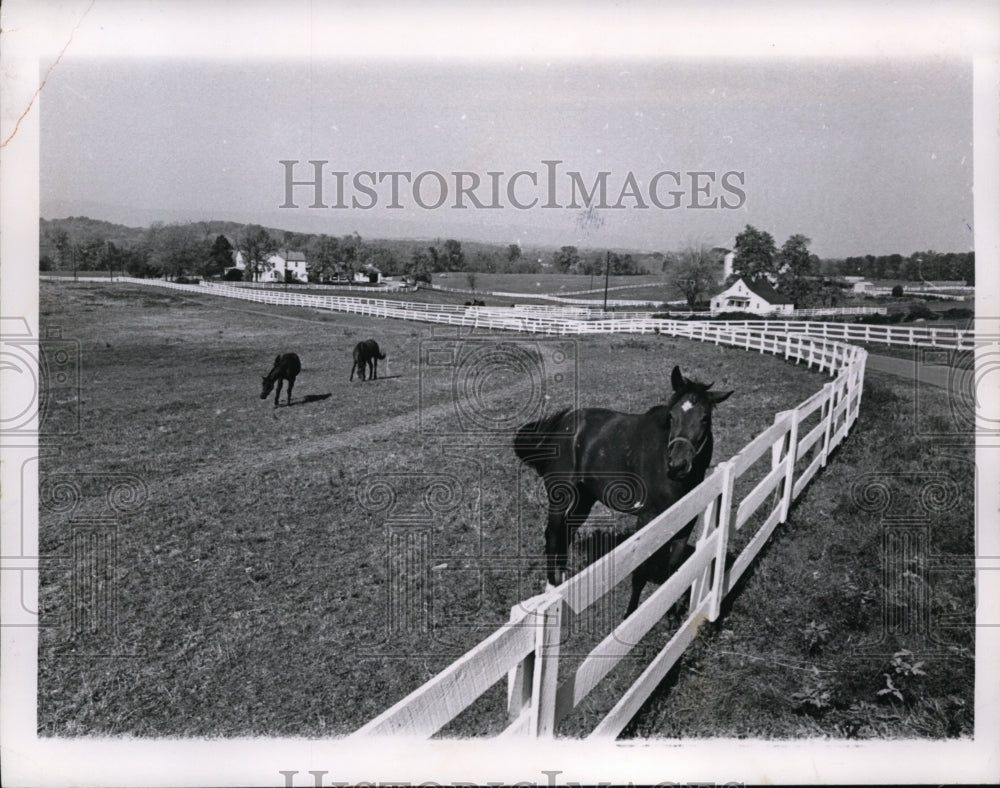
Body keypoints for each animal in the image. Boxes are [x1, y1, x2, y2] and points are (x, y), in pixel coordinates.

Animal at [516, 366, 736, 620]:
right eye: (671, 416)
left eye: (705, 418)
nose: (677, 465)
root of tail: (564, 421)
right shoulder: (647, 519)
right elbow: (640, 571)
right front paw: (631, 614)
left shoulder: (686, 522)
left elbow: (675, 567)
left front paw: (672, 614)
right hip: (560, 493)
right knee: (552, 534)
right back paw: (551, 588)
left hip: (584, 498)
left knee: (566, 533)